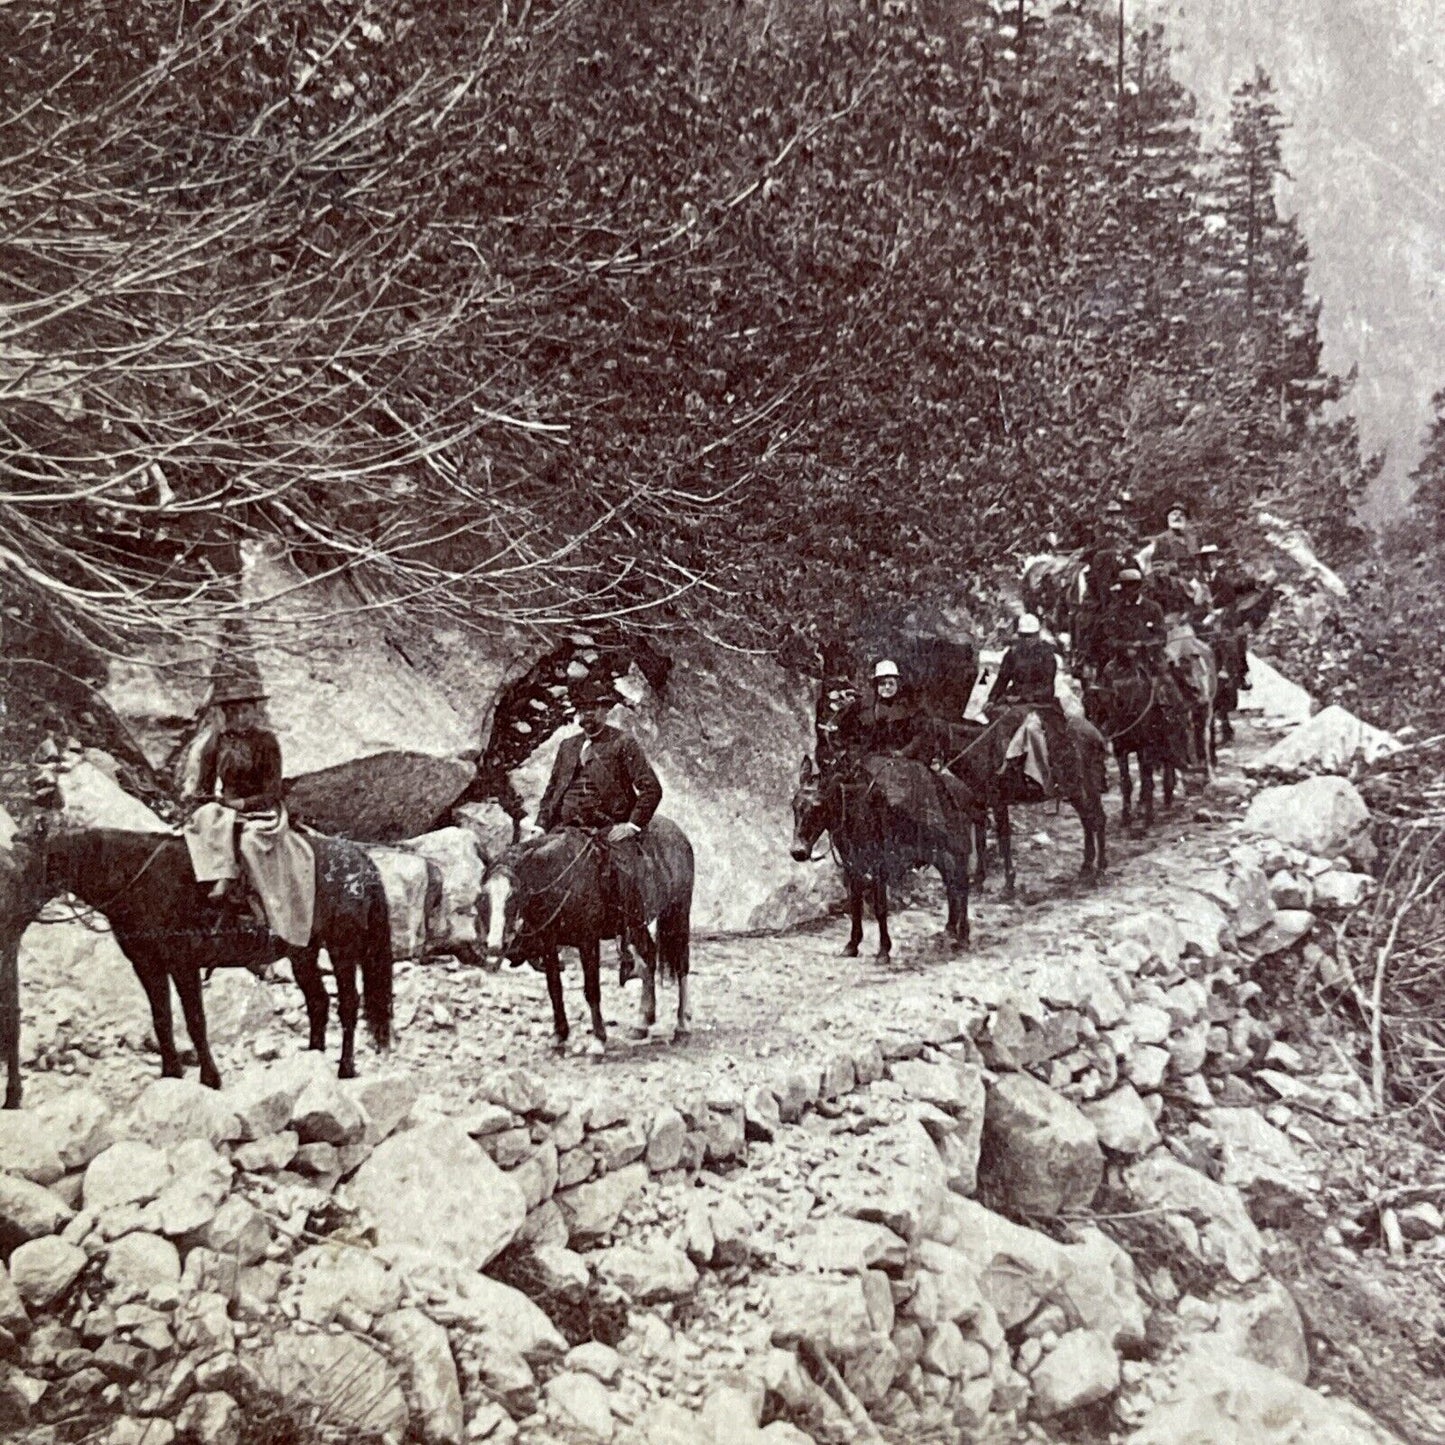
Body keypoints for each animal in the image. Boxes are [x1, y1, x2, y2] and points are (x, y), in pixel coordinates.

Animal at [2, 820, 393, 1109]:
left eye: (22, 869)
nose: (8, 921)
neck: (139, 879)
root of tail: (361, 861)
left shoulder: (183, 964)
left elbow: (195, 1022)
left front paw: (210, 1078)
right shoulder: (148, 965)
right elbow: (162, 1020)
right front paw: (171, 1073)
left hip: (343, 948)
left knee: (347, 1005)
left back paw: (345, 1068)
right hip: (303, 953)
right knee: (318, 1002)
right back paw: (311, 1060)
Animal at [479, 820, 693, 1057]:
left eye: (513, 896)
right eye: (484, 896)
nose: (494, 946)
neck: (562, 878)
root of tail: (677, 832)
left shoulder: (588, 941)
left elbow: (592, 990)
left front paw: (598, 1042)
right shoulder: (549, 943)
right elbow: (555, 988)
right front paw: (559, 1035)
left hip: (679, 912)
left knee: (681, 965)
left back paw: (682, 1027)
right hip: (637, 925)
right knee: (650, 957)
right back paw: (642, 1023)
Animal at [791, 751, 971, 965]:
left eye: (818, 806)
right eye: (794, 805)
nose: (798, 851)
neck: (859, 814)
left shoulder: (879, 868)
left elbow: (880, 908)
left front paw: (884, 951)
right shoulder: (852, 867)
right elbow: (855, 906)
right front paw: (852, 945)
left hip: (955, 852)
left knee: (961, 886)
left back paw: (963, 936)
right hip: (940, 856)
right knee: (951, 886)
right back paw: (950, 929)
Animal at [924, 705, 1103, 895]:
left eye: (925, 737)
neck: (979, 752)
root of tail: (1096, 735)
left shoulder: (999, 804)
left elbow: (1004, 841)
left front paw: (1008, 884)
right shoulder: (979, 806)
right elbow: (980, 843)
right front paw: (979, 881)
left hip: (1080, 789)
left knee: (1096, 820)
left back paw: (1099, 870)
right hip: (1081, 790)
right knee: (1090, 821)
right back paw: (1087, 868)